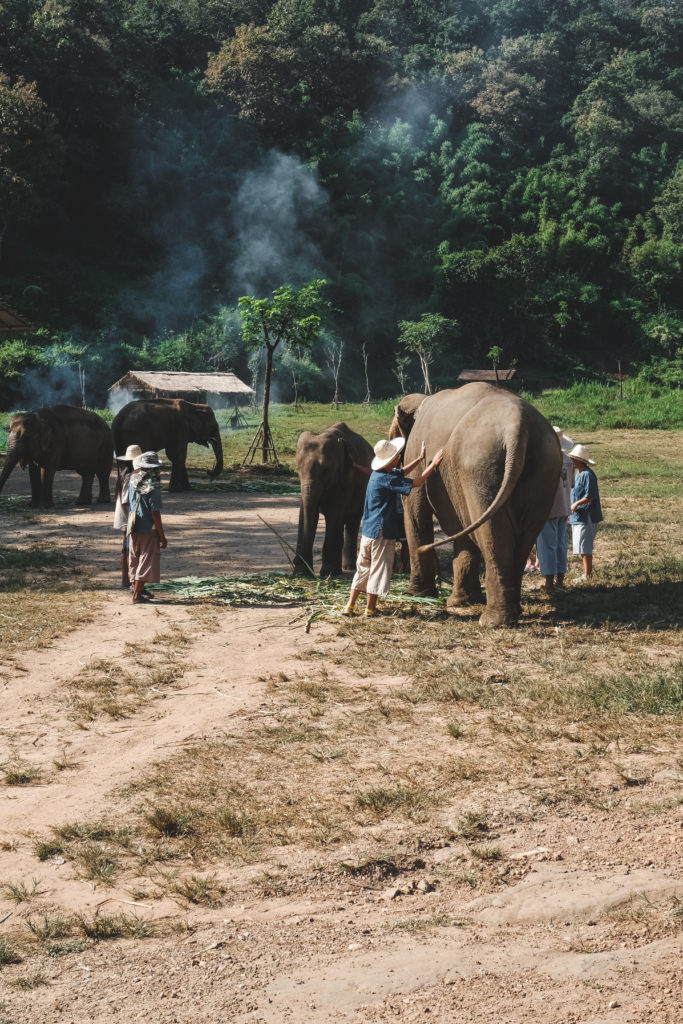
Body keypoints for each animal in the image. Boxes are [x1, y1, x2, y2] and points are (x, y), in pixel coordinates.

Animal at [294, 421, 374, 577]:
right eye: (298, 469)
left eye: (326, 470)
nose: (296, 561)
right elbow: (306, 513)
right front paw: (301, 573)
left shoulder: (347, 479)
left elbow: (334, 513)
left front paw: (329, 573)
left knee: (352, 520)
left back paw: (348, 567)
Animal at [389, 382, 561, 622]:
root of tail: (518, 427)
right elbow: (461, 526)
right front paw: (462, 602)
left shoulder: (417, 448)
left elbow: (416, 513)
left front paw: (414, 595)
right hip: (545, 468)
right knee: (525, 534)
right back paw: (512, 613)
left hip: (480, 467)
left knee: (493, 533)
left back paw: (492, 621)